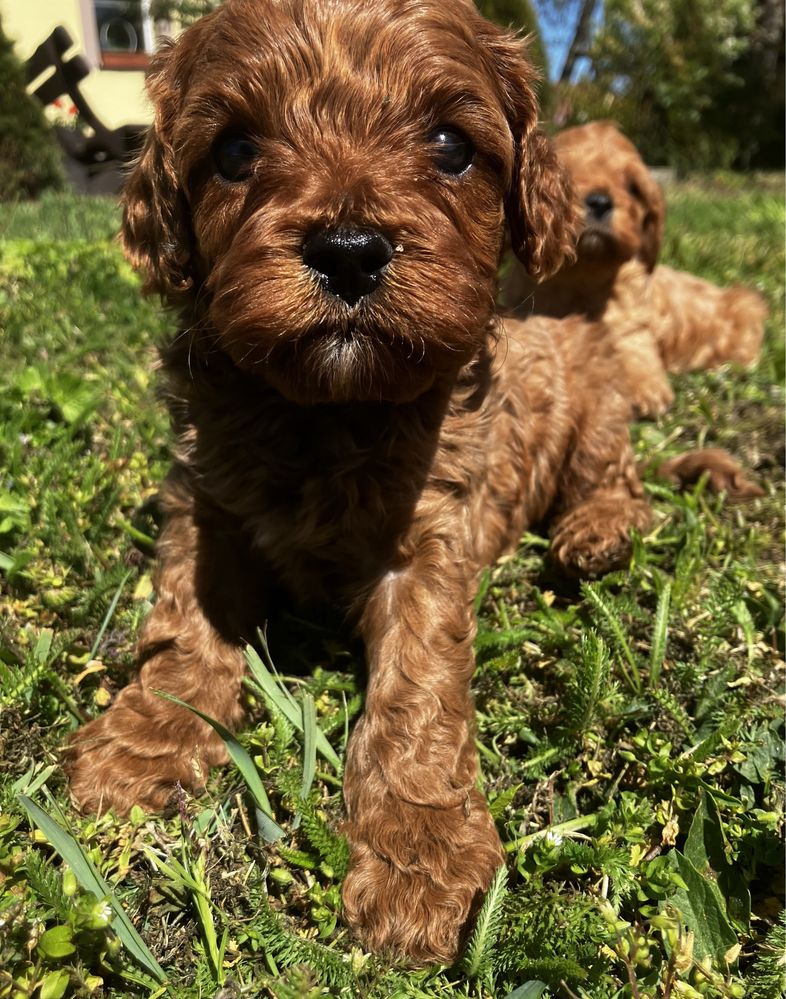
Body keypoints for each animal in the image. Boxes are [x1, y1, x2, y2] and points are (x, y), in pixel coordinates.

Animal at [64, 0, 724, 968]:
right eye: (233, 150)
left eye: (450, 144)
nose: (347, 251)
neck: (332, 408)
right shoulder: (205, 501)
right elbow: (183, 624)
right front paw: (146, 742)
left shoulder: (433, 534)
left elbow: (418, 689)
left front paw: (419, 853)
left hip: (596, 408)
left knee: (618, 482)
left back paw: (595, 533)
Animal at [502, 123, 764, 420]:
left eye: (633, 188)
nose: (600, 202)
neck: (582, 279)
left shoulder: (631, 327)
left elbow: (634, 352)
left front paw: (645, 390)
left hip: (744, 310)